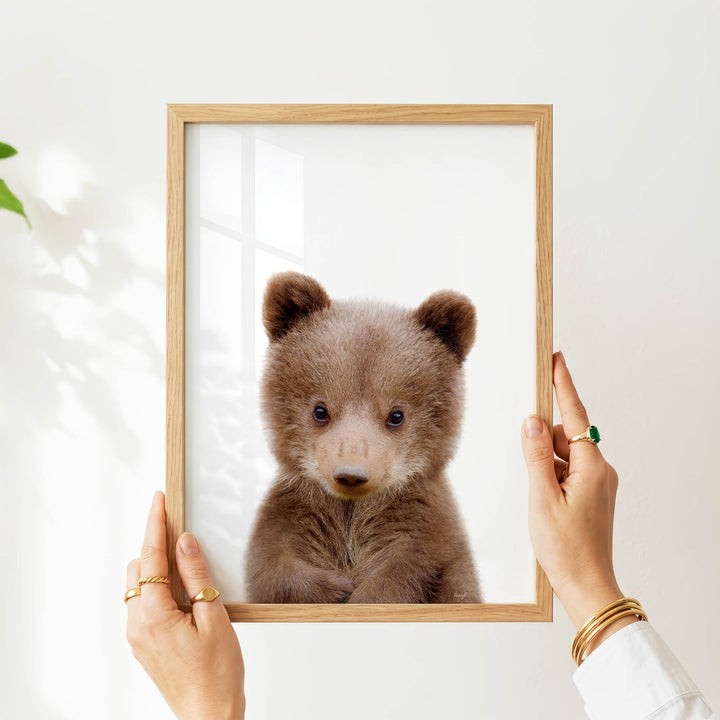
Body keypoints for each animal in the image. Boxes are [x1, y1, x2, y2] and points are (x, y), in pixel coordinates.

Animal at [244, 271, 482, 604]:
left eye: (396, 415)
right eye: (320, 410)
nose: (351, 474)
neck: (350, 512)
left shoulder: (422, 529)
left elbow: (407, 572)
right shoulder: (295, 513)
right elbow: (274, 565)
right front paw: (336, 588)